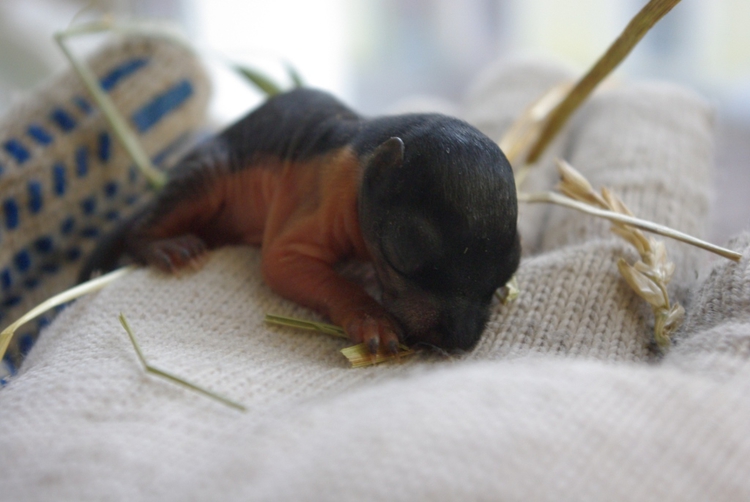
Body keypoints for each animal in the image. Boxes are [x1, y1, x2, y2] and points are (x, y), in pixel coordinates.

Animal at [79, 90, 520, 354]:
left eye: (509, 269)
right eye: (401, 255)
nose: (461, 342)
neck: (368, 149)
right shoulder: (318, 204)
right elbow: (292, 266)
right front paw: (371, 318)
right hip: (205, 175)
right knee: (143, 227)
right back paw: (162, 244)